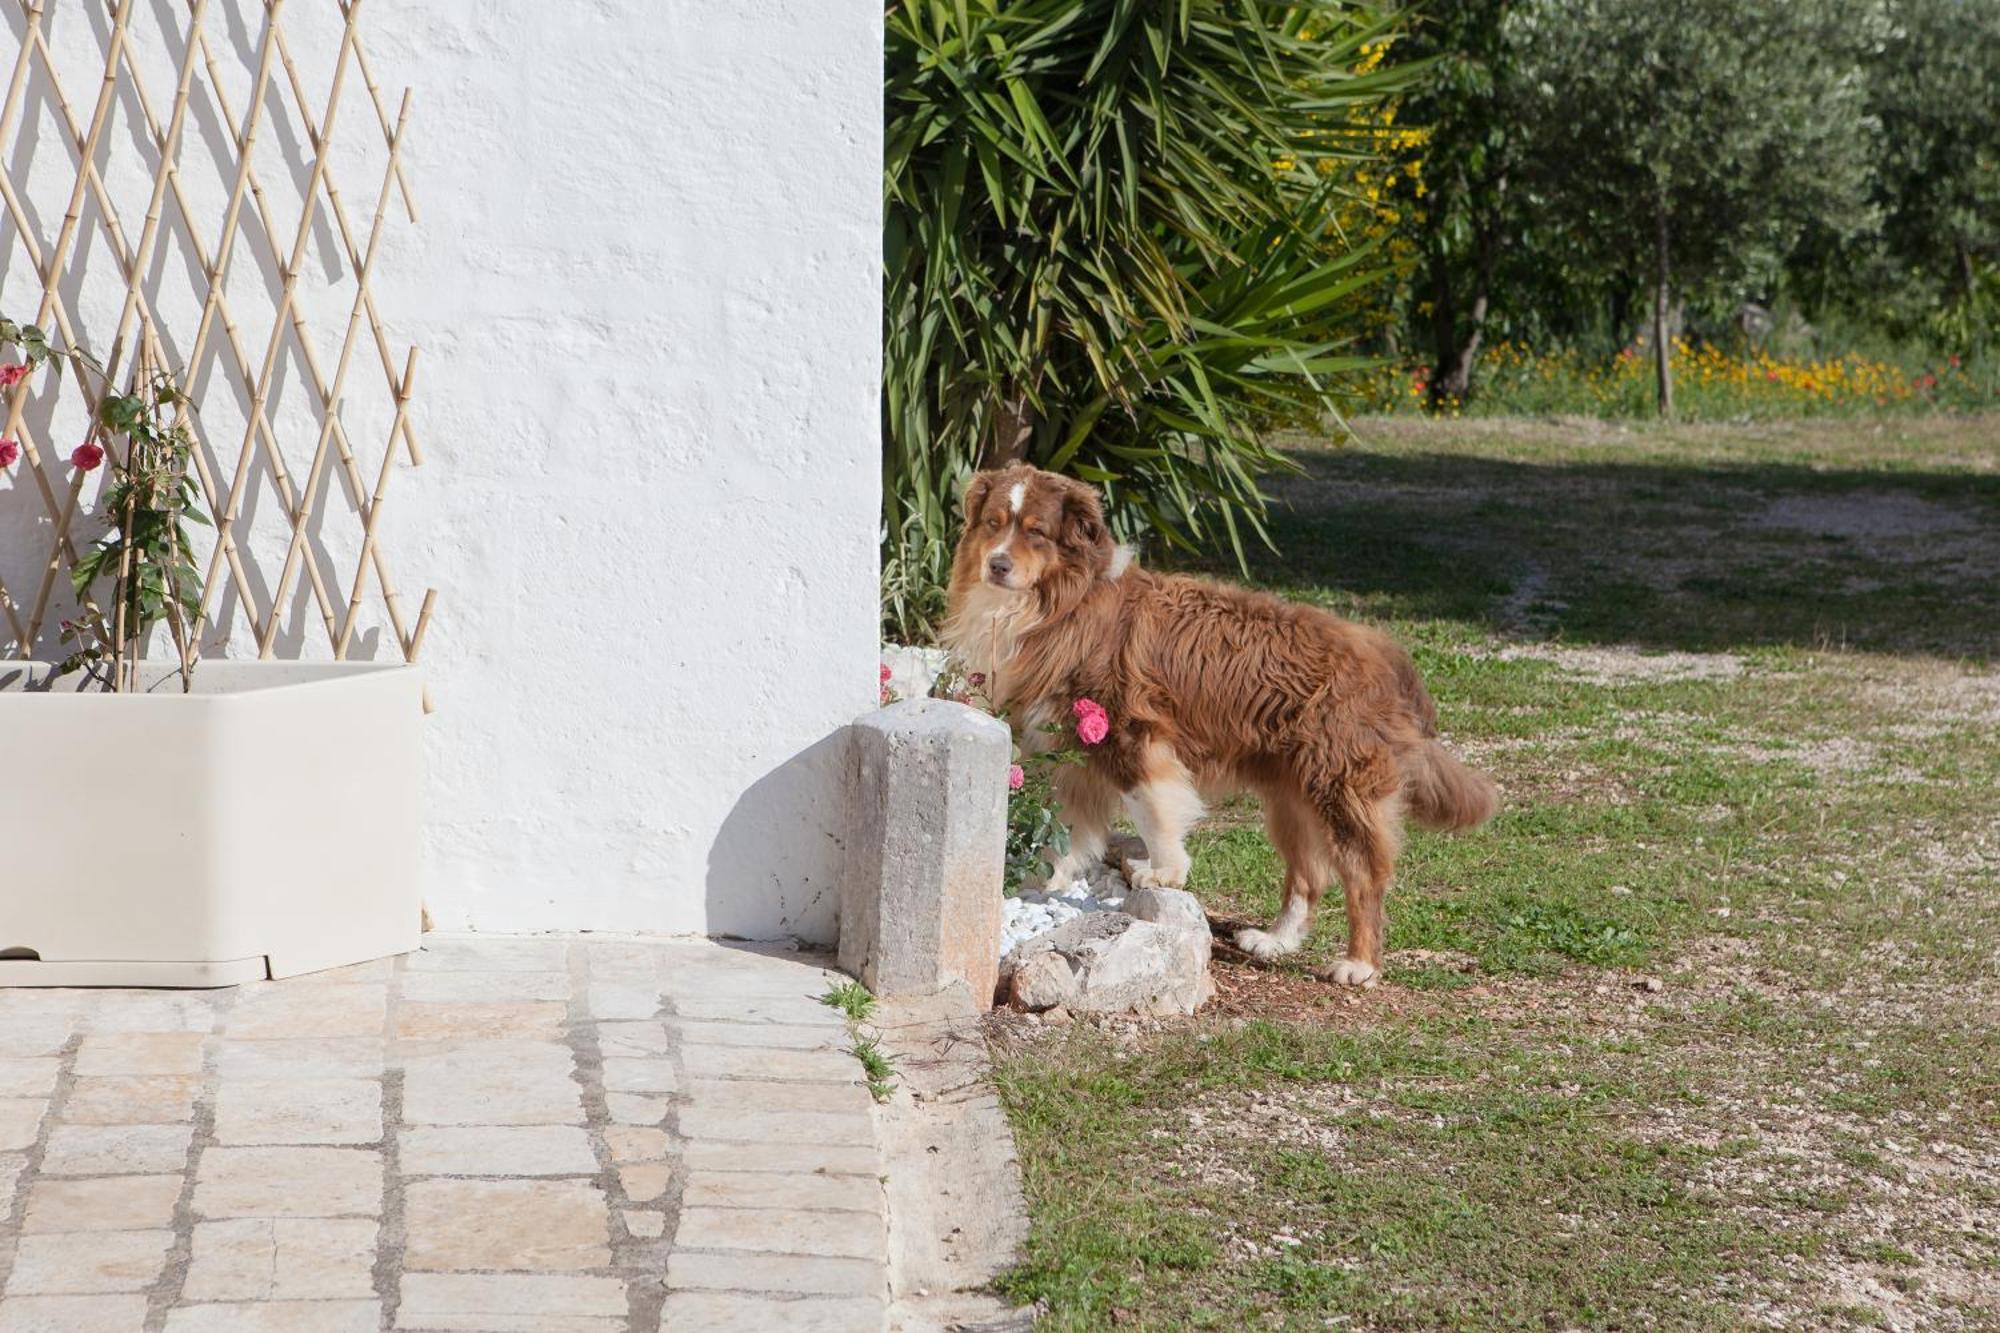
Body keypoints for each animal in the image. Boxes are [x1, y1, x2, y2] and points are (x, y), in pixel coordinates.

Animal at [944, 462, 1496, 980]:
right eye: (993, 524)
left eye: (1036, 532)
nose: (997, 564)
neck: (1059, 602)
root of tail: (1384, 656)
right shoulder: (1069, 747)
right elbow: (1065, 827)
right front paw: (1046, 885)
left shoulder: (1128, 731)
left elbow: (1152, 807)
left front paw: (1163, 873)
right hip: (1291, 797)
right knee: (1309, 875)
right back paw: (1274, 941)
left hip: (1340, 787)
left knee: (1364, 875)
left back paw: (1358, 964)